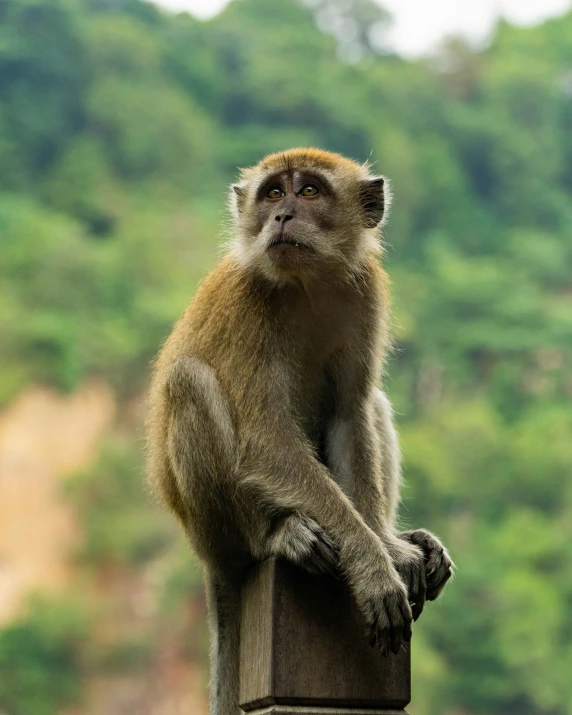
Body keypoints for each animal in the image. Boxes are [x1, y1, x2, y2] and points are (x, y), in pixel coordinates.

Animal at [145, 147, 454, 715]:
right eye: (272, 193)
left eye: (308, 191)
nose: (281, 216)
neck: (307, 283)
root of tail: (205, 552)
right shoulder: (251, 302)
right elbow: (265, 440)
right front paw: (371, 564)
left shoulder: (364, 293)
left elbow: (351, 413)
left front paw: (384, 546)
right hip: (215, 531)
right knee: (188, 382)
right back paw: (277, 536)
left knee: (372, 401)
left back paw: (403, 538)